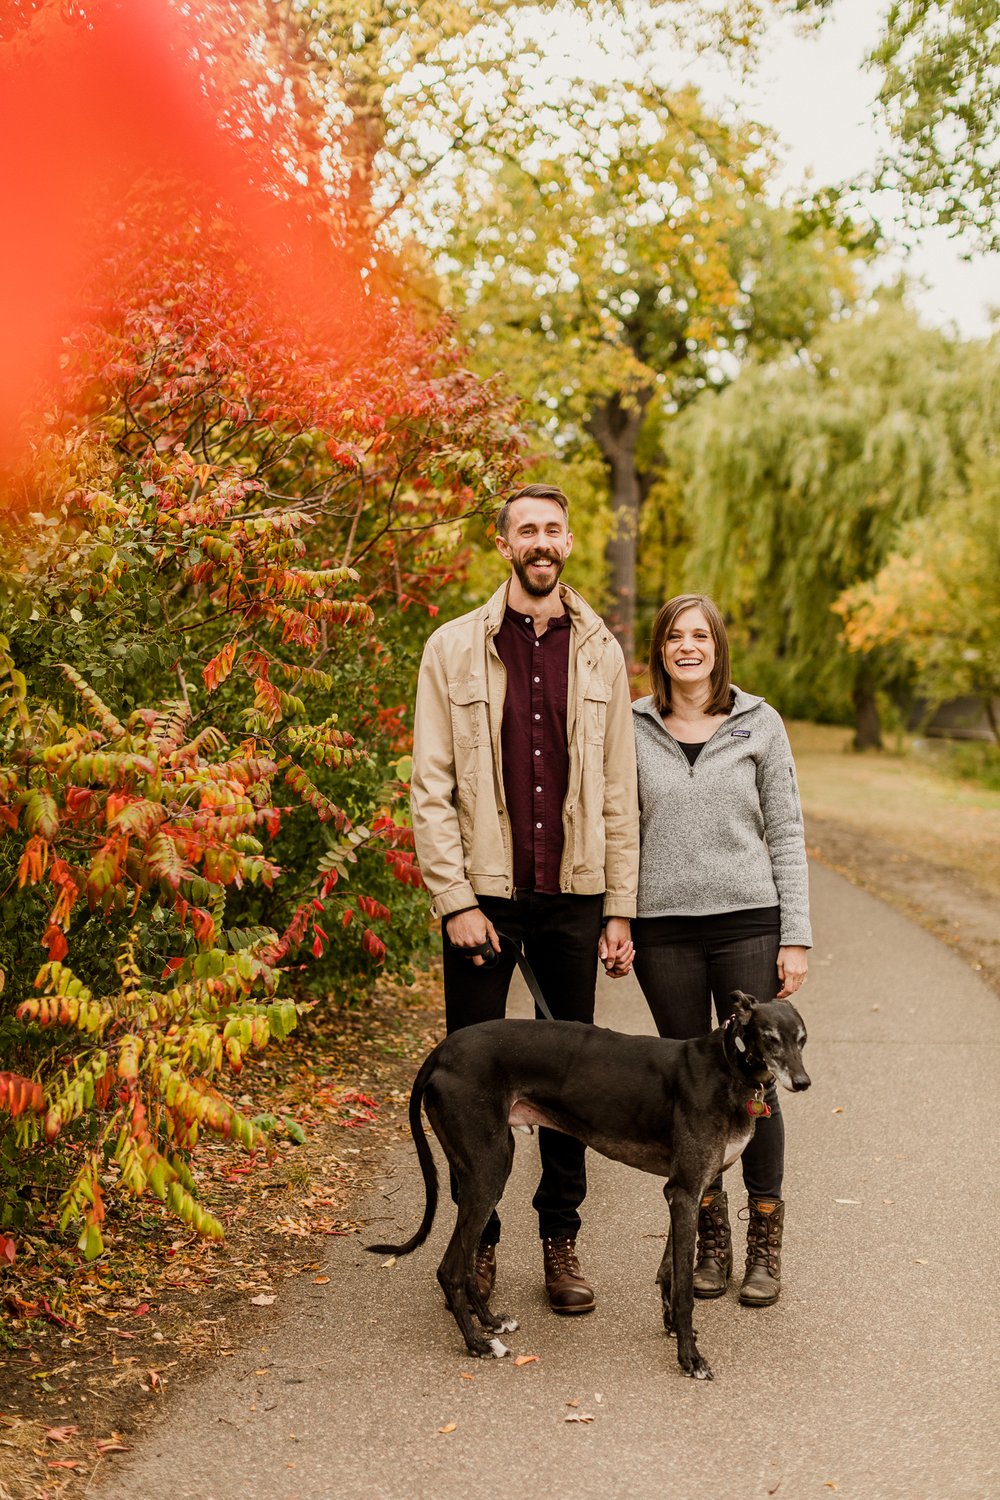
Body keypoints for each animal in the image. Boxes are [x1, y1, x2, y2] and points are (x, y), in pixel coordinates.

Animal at [371, 990, 809, 1374]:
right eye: (770, 1038)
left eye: (802, 1039)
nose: (802, 1083)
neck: (727, 1067)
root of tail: (441, 1050)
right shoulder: (685, 1191)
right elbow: (684, 1288)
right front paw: (690, 1358)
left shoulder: (683, 1191)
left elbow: (669, 1271)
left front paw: (671, 1328)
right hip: (487, 1170)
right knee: (450, 1269)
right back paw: (478, 1344)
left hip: (488, 1167)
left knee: (462, 1266)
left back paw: (492, 1323)